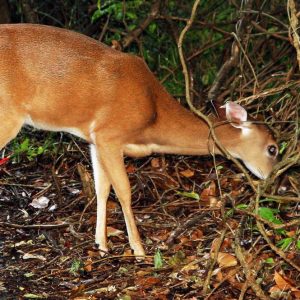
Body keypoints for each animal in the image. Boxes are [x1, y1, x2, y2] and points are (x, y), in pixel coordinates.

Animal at [0, 24, 278, 258]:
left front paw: (101, 244)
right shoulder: (110, 135)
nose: (271, 180)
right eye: (272, 149)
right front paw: (139, 249)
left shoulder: (95, 140)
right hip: (7, 116)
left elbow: (102, 189)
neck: (153, 115)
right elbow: (124, 190)